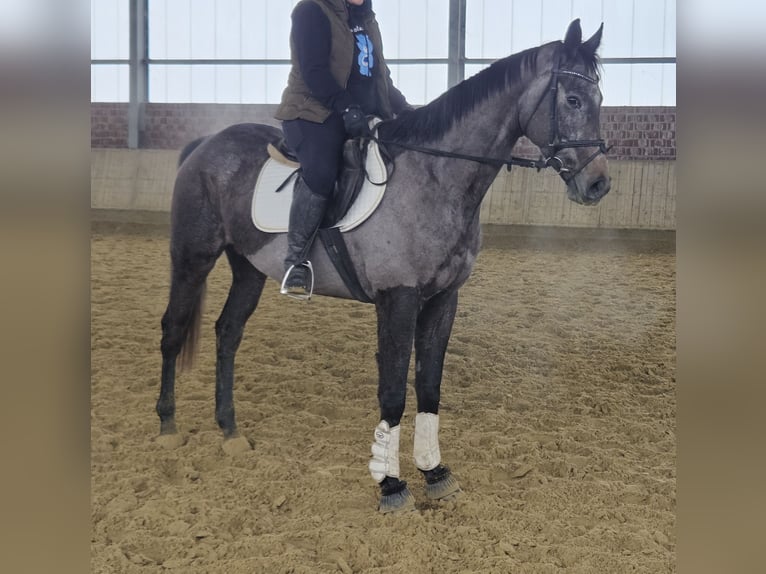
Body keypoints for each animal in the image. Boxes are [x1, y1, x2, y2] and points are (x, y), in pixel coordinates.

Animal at [156, 20, 612, 516]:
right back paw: (167, 427)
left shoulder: (443, 299)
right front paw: (391, 485)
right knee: (174, 329)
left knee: (228, 332)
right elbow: (392, 390)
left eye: (599, 99)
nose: (599, 184)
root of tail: (205, 145)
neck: (435, 177)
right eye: (573, 100)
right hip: (193, 257)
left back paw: (230, 431)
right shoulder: (398, 297)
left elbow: (429, 386)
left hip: (248, 267)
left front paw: (435, 473)